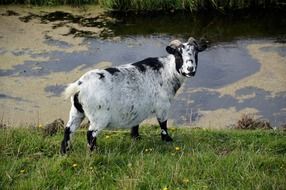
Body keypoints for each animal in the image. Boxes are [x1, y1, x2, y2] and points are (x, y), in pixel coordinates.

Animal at [61, 36, 207, 153]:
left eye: (196, 53)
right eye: (178, 54)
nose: (190, 70)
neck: (167, 71)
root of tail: (80, 86)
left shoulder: (139, 108)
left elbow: (136, 124)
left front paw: (136, 138)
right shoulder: (163, 106)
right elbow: (163, 124)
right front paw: (167, 140)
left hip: (77, 111)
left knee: (68, 130)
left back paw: (66, 152)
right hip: (98, 117)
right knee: (90, 135)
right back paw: (94, 152)